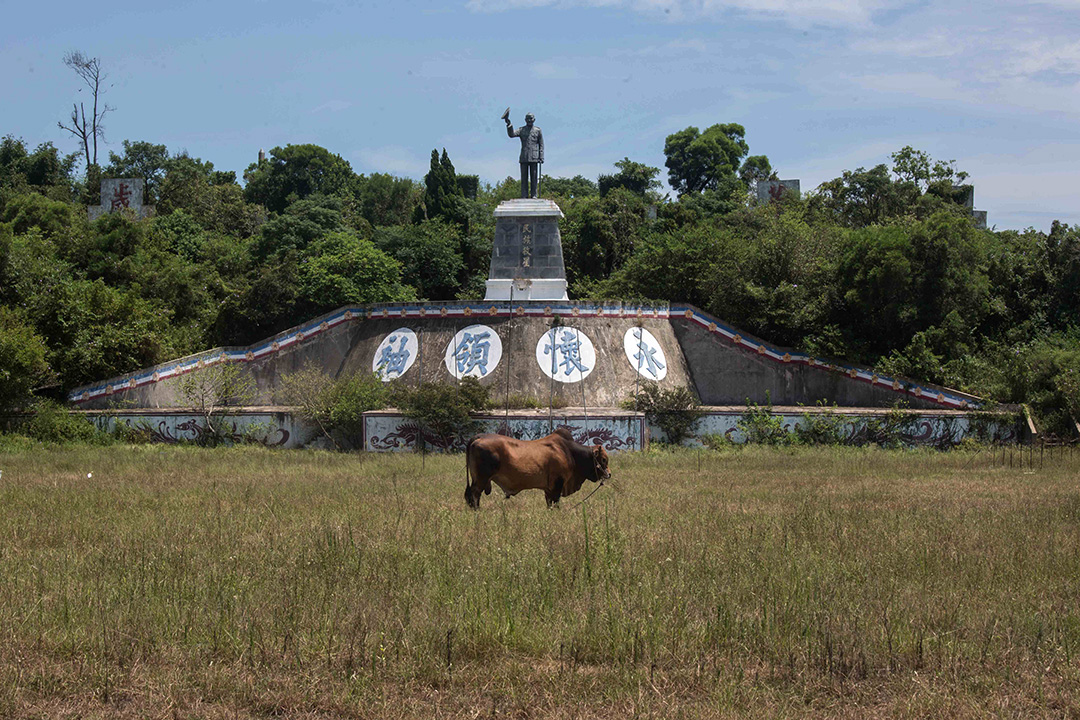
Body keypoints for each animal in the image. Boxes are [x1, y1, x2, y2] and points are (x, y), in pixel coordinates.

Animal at [464, 431, 613, 509]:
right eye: (603, 459)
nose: (609, 474)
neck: (569, 452)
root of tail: (479, 437)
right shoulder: (558, 485)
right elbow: (556, 503)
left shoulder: (549, 489)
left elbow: (549, 503)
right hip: (481, 479)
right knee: (474, 494)